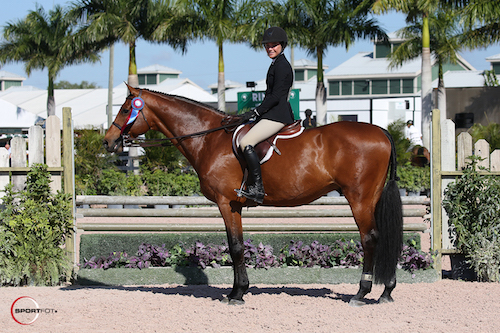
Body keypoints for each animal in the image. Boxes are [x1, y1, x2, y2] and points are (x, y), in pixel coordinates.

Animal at [103, 85, 404, 306]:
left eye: (127, 108)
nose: (108, 141)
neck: (209, 139)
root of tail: (381, 131)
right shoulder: (234, 205)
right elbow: (236, 244)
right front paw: (239, 290)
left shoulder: (225, 203)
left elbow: (235, 247)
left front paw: (237, 295)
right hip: (370, 198)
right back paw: (386, 291)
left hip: (359, 198)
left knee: (369, 238)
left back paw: (361, 293)